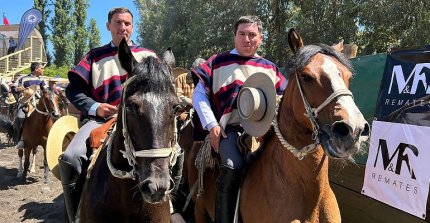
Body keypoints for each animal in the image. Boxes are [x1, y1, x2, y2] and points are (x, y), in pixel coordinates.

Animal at [186, 28, 372, 222]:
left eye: (348, 76)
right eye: (306, 76)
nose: (353, 129)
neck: (310, 197)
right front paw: (216, 131)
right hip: (199, 209)